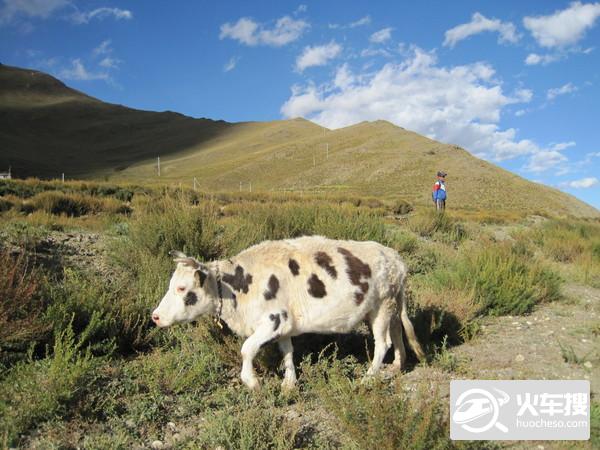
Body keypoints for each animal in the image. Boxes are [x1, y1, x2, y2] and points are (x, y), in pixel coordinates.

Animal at [152, 236, 428, 390]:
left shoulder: (272, 321)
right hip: (386, 307)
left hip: (382, 306)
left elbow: (247, 349)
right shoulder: (284, 325)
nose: (155, 316)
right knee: (397, 333)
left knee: (383, 343)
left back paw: (369, 378)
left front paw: (252, 382)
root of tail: (396, 257)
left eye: (182, 287)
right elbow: (287, 352)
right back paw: (397, 366)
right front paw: (289, 383)